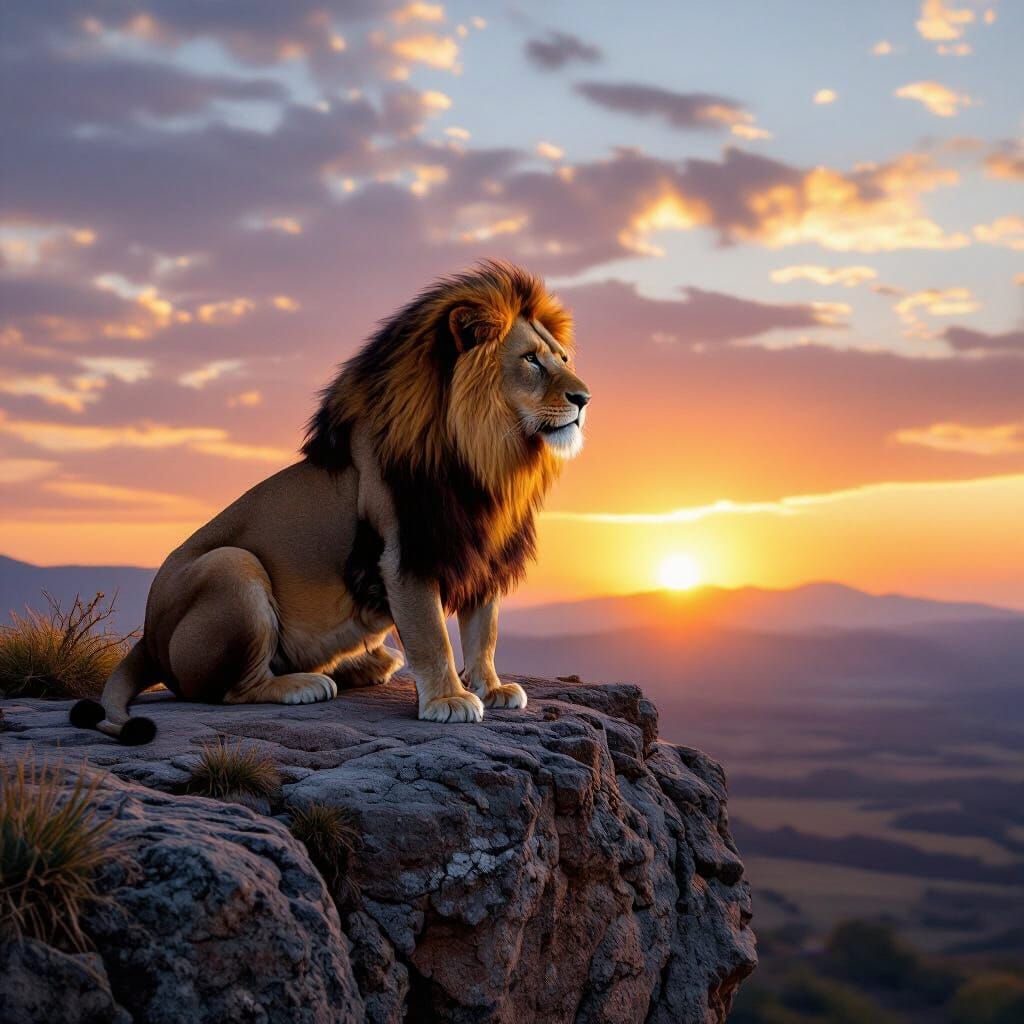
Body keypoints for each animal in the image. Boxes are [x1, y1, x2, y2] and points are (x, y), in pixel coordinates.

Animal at [70, 261, 590, 743]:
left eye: (563, 357)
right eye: (531, 360)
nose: (584, 398)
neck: (489, 461)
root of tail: (146, 636)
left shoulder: (483, 549)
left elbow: (484, 630)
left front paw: (491, 687)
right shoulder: (406, 552)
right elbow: (431, 635)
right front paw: (448, 699)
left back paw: (368, 664)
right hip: (232, 567)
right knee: (228, 689)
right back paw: (302, 684)